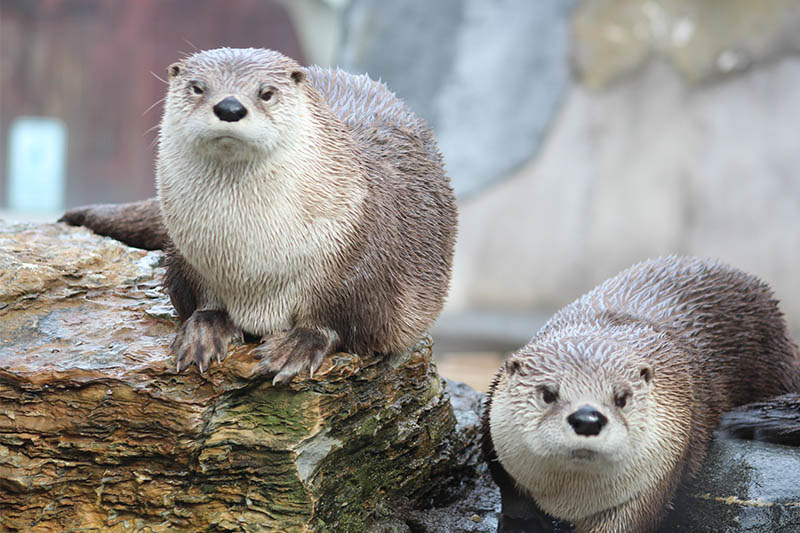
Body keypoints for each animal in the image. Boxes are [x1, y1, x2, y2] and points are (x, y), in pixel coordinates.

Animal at [60, 48, 457, 384]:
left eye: (266, 92)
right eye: (198, 87)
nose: (230, 106)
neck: (252, 264)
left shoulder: (360, 262)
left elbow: (339, 321)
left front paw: (297, 346)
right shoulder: (187, 258)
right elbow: (195, 300)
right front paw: (204, 328)